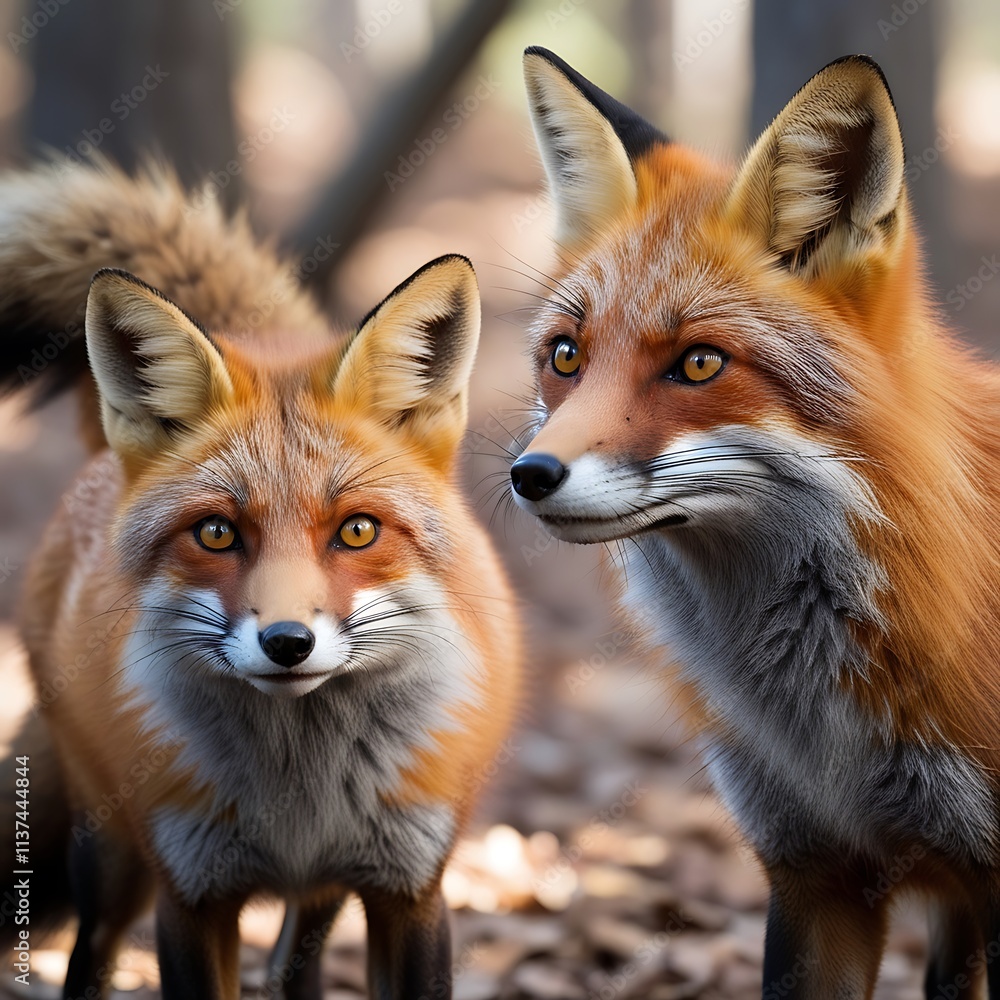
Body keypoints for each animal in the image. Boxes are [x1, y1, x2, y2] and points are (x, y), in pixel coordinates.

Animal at [0, 161, 521, 1000]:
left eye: (357, 531)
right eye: (216, 533)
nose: (287, 642)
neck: (300, 806)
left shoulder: (410, 889)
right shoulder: (191, 895)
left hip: (322, 896)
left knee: (289, 971)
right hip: (110, 860)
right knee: (92, 955)